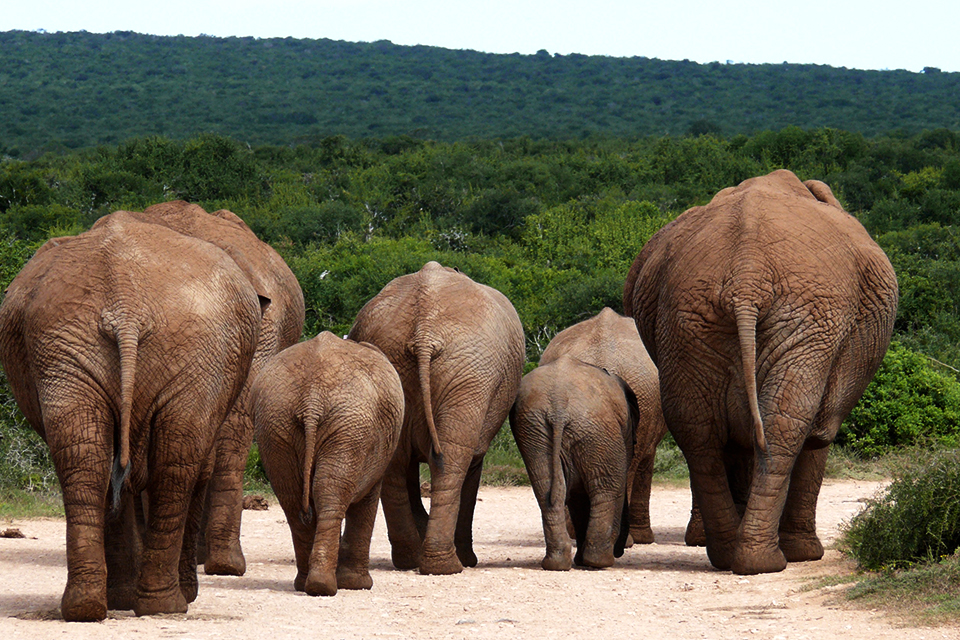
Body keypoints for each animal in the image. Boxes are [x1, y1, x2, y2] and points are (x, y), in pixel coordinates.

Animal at [0, 212, 264, 620]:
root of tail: (125, 305)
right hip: (188, 346)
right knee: (175, 463)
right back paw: (165, 605)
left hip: (67, 345)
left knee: (87, 456)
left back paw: (89, 607)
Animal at [250, 332, 404, 596]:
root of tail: (311, 399)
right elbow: (368, 498)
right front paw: (358, 585)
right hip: (348, 425)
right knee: (330, 496)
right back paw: (324, 586)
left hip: (275, 423)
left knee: (293, 500)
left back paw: (309, 584)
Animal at [347, 261, 525, 575]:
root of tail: (424, 330)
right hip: (471, 374)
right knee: (453, 459)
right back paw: (449, 565)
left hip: (400, 362)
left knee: (397, 462)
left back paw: (410, 560)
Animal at [510, 354, 637, 570]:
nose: (621, 551)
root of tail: (558, 407)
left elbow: (576, 496)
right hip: (596, 428)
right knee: (607, 488)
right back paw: (600, 561)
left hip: (535, 429)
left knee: (546, 488)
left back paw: (556, 563)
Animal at [623, 169, 898, 575]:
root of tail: (746, 275)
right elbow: (819, 431)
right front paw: (805, 554)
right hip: (808, 316)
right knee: (788, 422)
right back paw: (769, 561)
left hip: (687, 318)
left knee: (698, 426)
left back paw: (732, 556)